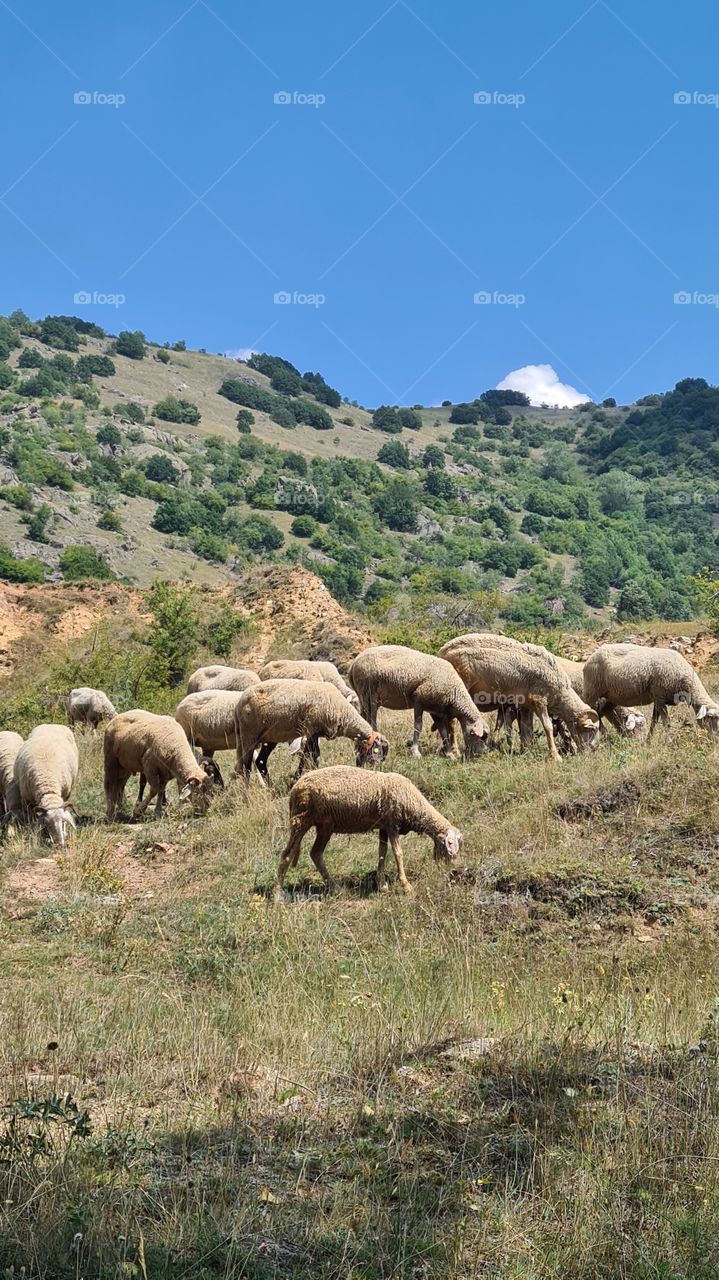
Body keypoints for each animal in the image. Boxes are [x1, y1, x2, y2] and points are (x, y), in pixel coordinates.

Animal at [233, 680, 389, 785]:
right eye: (378, 752)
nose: (372, 771)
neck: (344, 714)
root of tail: (238, 704)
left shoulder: (314, 733)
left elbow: (310, 755)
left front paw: (299, 778)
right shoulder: (312, 728)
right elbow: (312, 755)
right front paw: (299, 779)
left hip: (270, 736)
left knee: (260, 761)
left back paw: (271, 789)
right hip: (249, 735)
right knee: (246, 767)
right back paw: (248, 796)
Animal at [276, 765, 463, 898]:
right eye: (450, 843)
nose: (454, 868)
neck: (414, 803)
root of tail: (295, 788)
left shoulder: (384, 827)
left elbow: (382, 852)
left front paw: (381, 884)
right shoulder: (392, 824)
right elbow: (398, 853)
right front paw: (406, 885)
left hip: (324, 826)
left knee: (315, 853)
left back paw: (335, 887)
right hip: (301, 820)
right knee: (286, 855)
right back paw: (279, 892)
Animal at [348, 644, 489, 759]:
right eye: (483, 736)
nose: (480, 754)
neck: (454, 693)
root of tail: (353, 665)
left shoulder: (436, 711)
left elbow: (443, 732)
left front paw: (449, 754)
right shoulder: (419, 700)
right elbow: (418, 726)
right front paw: (415, 752)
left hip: (363, 696)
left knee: (363, 718)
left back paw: (358, 747)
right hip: (369, 694)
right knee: (371, 719)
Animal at [438, 633, 600, 762]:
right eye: (591, 730)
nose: (590, 753)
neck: (559, 692)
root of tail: (443, 651)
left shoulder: (526, 704)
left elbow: (526, 727)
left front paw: (526, 750)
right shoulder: (539, 699)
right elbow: (547, 726)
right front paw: (555, 756)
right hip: (458, 689)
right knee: (452, 721)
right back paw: (454, 751)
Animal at [583, 643, 719, 736]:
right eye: (711, 717)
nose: (715, 738)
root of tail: (590, 657)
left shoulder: (657, 699)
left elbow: (654, 721)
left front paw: (649, 740)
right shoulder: (659, 697)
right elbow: (666, 722)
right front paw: (669, 740)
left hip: (611, 696)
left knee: (600, 712)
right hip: (592, 692)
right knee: (592, 712)